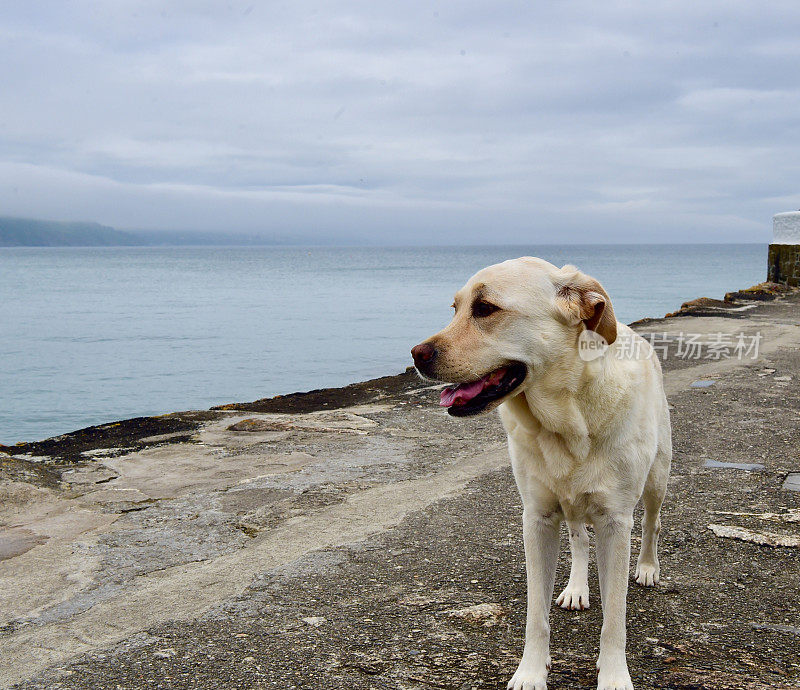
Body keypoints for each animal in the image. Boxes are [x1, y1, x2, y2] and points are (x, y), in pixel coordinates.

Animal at [412, 256, 668, 688]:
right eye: (455, 308)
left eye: (485, 308)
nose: (416, 354)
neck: (566, 423)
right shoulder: (538, 518)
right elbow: (536, 614)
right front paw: (531, 671)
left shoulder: (616, 522)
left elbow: (614, 618)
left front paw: (614, 675)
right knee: (580, 539)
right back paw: (577, 587)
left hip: (657, 478)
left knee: (652, 523)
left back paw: (648, 568)